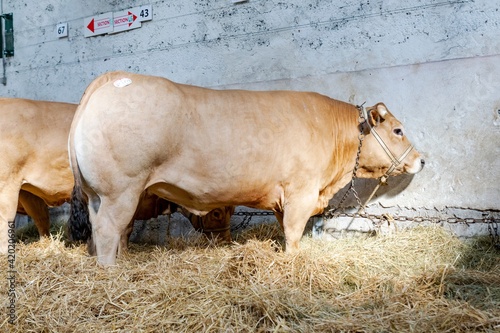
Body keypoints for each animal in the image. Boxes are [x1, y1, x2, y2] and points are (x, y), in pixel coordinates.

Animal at [68, 70, 424, 264]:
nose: (421, 159)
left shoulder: (284, 199)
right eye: (398, 130)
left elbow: (286, 230)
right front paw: (293, 260)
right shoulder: (301, 193)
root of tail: (115, 79)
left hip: (97, 195)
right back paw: (111, 271)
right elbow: (294, 233)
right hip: (120, 191)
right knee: (109, 230)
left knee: (102, 230)